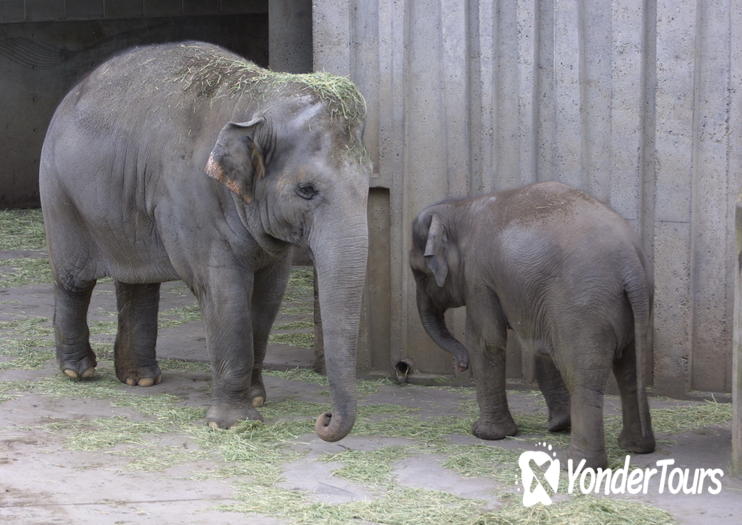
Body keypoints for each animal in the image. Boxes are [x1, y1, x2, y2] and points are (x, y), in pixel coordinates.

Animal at [39, 42, 370, 442]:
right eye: (306, 190)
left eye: (370, 183)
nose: (323, 419)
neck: (258, 95)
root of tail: (72, 92)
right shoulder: (193, 200)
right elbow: (224, 293)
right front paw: (233, 423)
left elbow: (269, 295)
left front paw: (256, 399)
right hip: (59, 195)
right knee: (74, 279)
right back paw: (78, 371)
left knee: (138, 281)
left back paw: (140, 379)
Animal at [412, 181, 656, 466]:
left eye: (420, 273)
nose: (461, 365)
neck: (460, 207)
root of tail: (630, 266)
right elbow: (542, 347)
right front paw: (557, 426)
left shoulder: (479, 277)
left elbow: (485, 340)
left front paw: (486, 434)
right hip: (634, 307)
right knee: (630, 370)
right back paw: (636, 447)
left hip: (584, 307)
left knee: (583, 376)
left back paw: (578, 464)